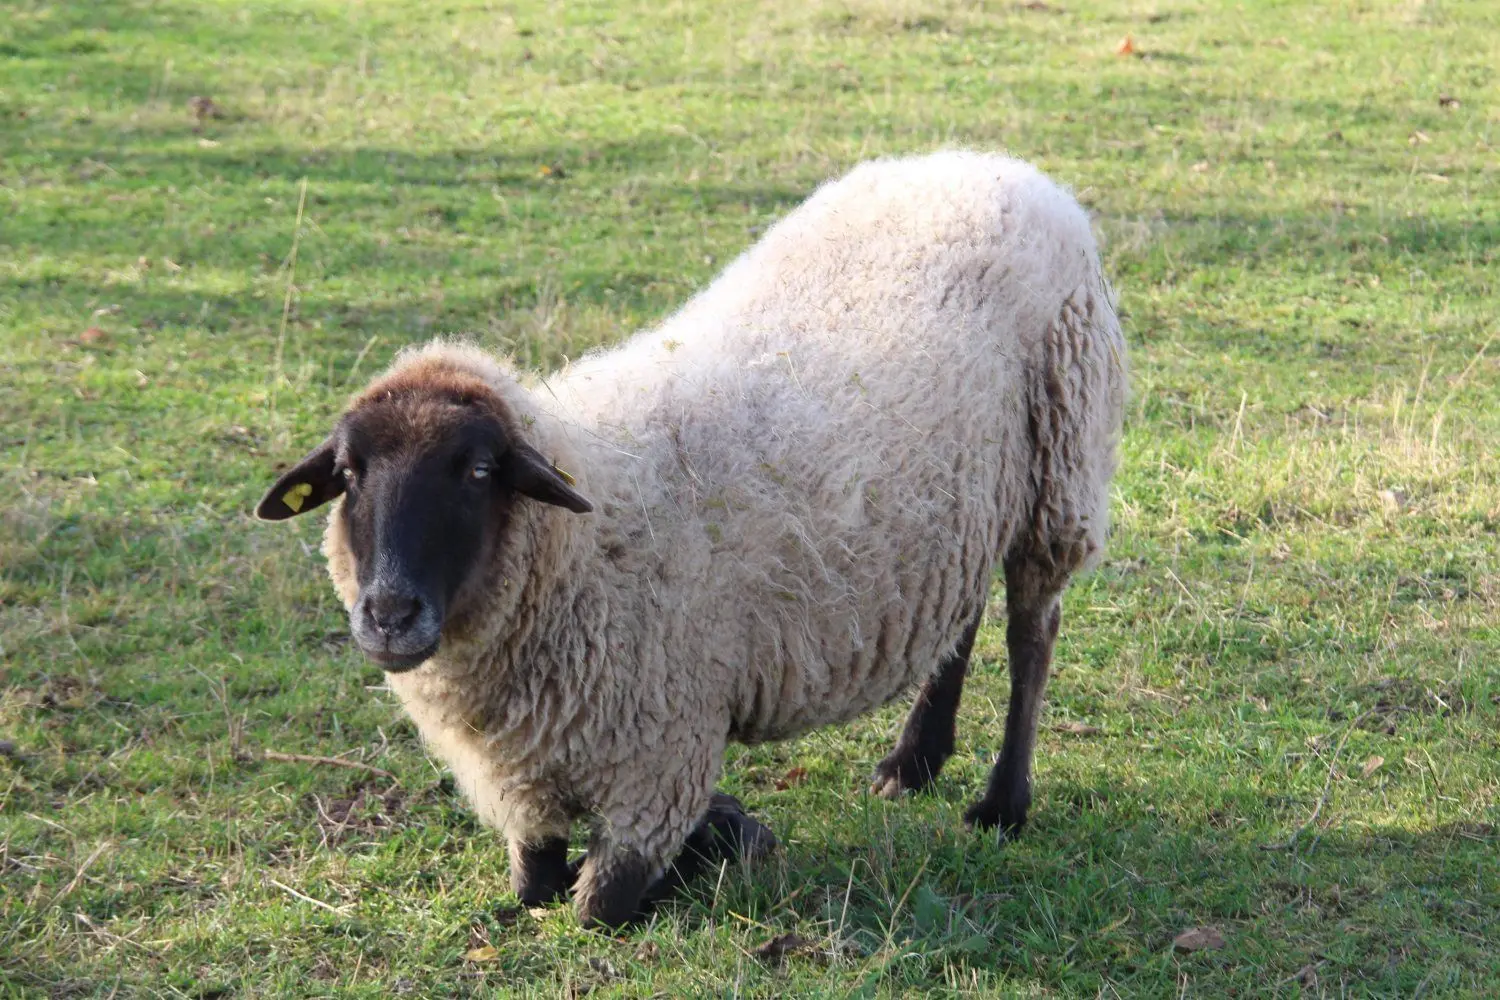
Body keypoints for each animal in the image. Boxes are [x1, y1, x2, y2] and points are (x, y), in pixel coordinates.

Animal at [255, 150, 1128, 928]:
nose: (389, 615)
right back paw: (913, 761)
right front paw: (729, 829)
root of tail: (990, 162)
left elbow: (598, 908)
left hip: (1059, 469)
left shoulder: (662, 758)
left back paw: (1002, 803)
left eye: (476, 472)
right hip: (962, 502)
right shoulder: (525, 785)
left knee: (1031, 632)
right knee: (963, 612)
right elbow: (536, 887)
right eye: (348, 473)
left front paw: (731, 837)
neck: (588, 532)